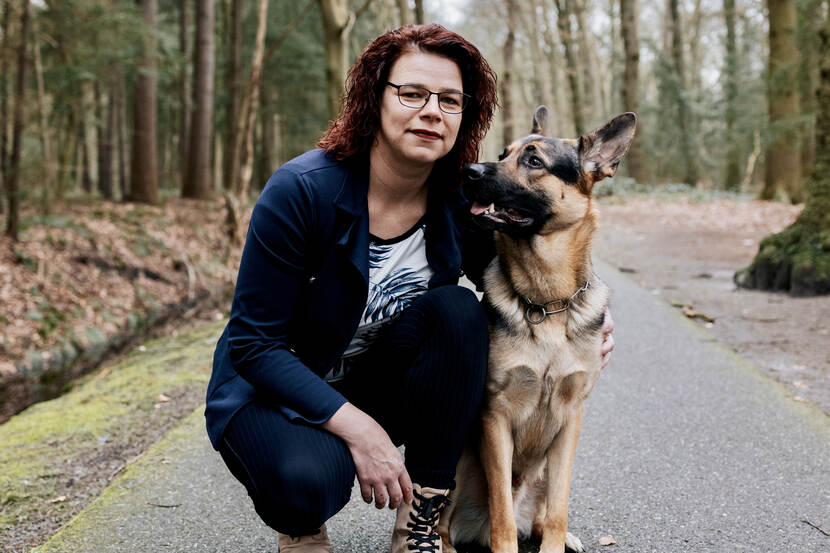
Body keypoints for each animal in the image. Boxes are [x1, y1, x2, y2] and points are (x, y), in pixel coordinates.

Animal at [438, 108, 640, 552]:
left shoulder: (570, 422)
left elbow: (560, 509)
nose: (468, 172)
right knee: (446, 521)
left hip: (544, 470)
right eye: (502, 154)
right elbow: (502, 513)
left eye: (534, 161)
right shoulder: (495, 418)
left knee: (544, 515)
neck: (546, 304)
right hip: (459, 460)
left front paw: (556, 542)